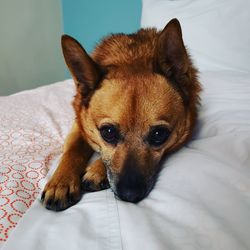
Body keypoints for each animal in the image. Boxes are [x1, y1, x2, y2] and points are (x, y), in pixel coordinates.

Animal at [41, 18, 201, 210]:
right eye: (108, 132)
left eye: (159, 134)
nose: (130, 195)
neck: (131, 59)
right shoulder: (79, 125)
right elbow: (73, 150)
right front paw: (61, 182)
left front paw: (96, 170)